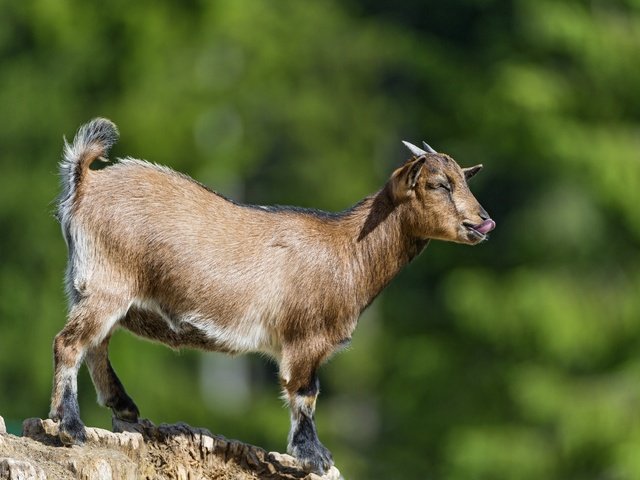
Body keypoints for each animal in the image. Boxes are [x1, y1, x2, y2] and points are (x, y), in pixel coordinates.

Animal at [50, 118, 496, 474]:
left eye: (464, 180)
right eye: (439, 184)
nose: (483, 222)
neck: (347, 249)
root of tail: (85, 182)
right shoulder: (305, 338)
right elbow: (305, 393)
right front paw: (315, 457)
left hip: (90, 289)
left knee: (96, 344)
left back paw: (123, 409)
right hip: (107, 285)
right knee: (69, 343)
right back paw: (70, 426)